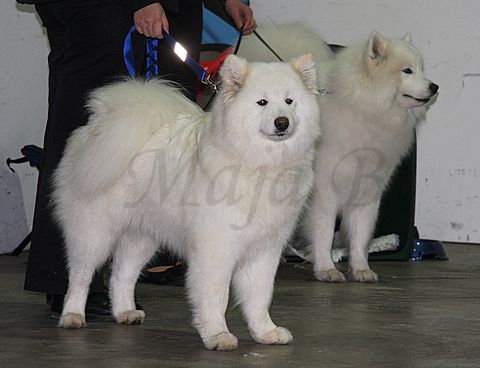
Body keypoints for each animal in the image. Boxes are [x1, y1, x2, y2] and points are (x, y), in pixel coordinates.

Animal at [52, 53, 320, 350]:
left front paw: (265, 331)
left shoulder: (264, 249)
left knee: (122, 274)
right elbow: (216, 296)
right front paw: (217, 334)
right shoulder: (216, 249)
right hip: (94, 234)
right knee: (80, 275)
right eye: (262, 102)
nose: (282, 122)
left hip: (142, 237)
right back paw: (72, 315)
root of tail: (96, 128)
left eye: (289, 101)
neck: (259, 162)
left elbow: (260, 297)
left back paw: (125, 312)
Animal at [240, 23, 438, 282]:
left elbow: (361, 236)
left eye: (421, 69)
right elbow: (324, 235)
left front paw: (361, 269)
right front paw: (326, 269)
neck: (362, 109)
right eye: (407, 70)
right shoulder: (324, 194)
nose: (435, 87)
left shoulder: (367, 191)